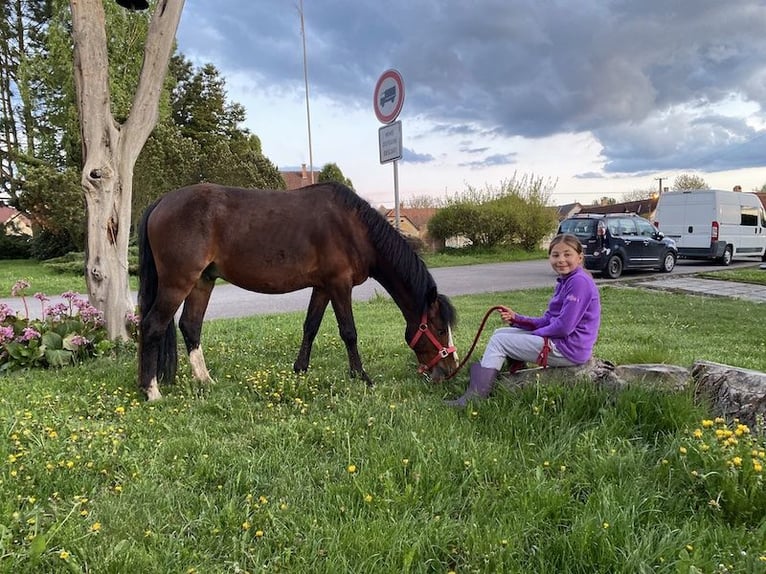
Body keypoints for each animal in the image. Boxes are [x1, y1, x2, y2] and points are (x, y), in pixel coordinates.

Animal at [137, 182, 458, 401]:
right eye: (440, 329)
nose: (449, 371)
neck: (354, 228)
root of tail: (161, 202)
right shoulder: (339, 285)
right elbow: (349, 332)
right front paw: (361, 376)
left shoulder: (323, 287)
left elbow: (310, 327)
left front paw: (300, 369)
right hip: (178, 282)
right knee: (152, 326)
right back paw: (152, 391)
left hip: (203, 281)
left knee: (190, 326)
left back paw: (205, 381)